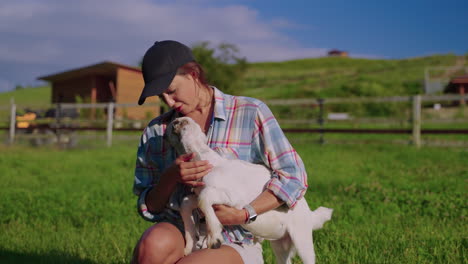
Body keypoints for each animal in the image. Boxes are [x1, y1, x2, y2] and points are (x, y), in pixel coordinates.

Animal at [165, 117, 332, 264]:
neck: (206, 159)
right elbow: (186, 202)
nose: (168, 124)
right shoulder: (198, 194)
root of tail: (308, 213)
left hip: (301, 237)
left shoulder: (231, 197)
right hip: (281, 243)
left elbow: (204, 198)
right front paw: (189, 246)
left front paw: (215, 238)